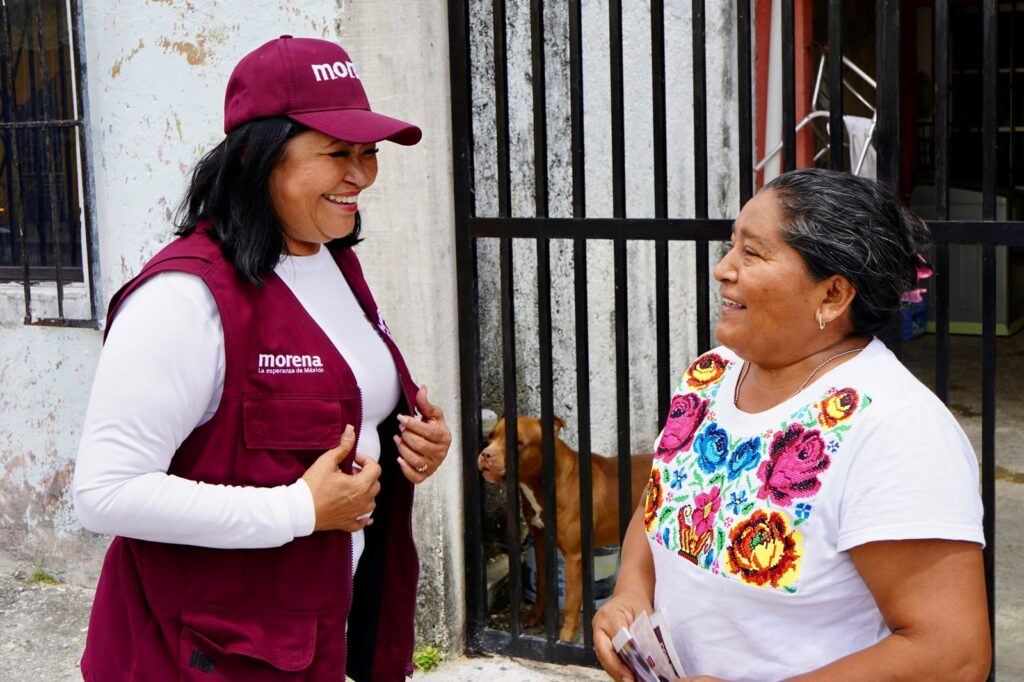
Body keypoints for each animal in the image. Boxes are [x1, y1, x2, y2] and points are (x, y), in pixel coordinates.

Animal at [477, 411, 651, 638]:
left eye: (517, 442)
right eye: (490, 436)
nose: (485, 454)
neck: (543, 484)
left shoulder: (573, 556)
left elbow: (571, 602)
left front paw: (565, 637)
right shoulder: (540, 542)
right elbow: (542, 585)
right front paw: (535, 616)